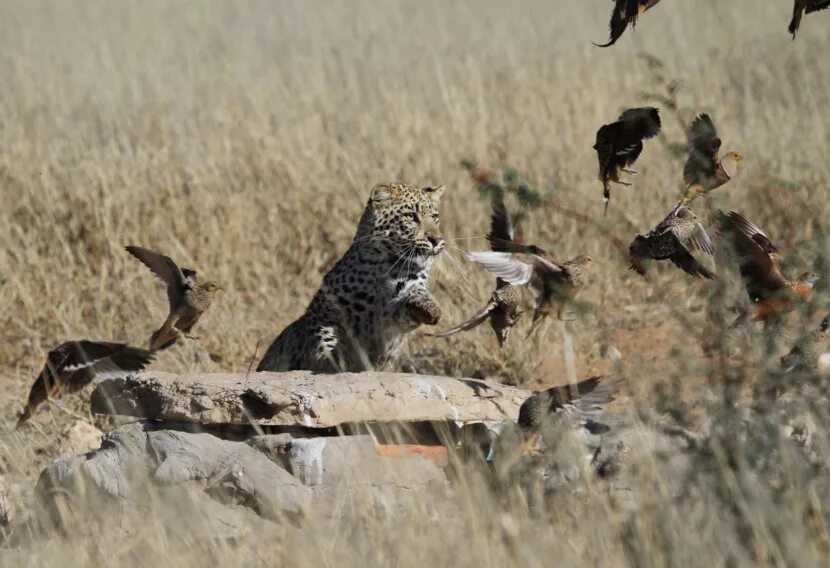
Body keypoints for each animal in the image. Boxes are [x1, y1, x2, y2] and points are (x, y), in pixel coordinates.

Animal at [258, 182, 448, 374]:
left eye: (435, 217)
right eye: (411, 216)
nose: (436, 239)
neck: (385, 265)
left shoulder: (398, 308)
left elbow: (413, 300)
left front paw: (429, 308)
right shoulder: (324, 311)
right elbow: (326, 336)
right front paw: (337, 360)